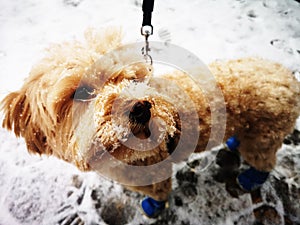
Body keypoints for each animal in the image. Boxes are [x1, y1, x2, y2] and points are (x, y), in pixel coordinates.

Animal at [1, 26, 298, 206]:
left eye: (133, 78)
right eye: (82, 91)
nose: (141, 107)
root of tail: (288, 76)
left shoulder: (156, 177)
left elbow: (158, 195)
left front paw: (152, 207)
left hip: (264, 137)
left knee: (264, 161)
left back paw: (250, 178)